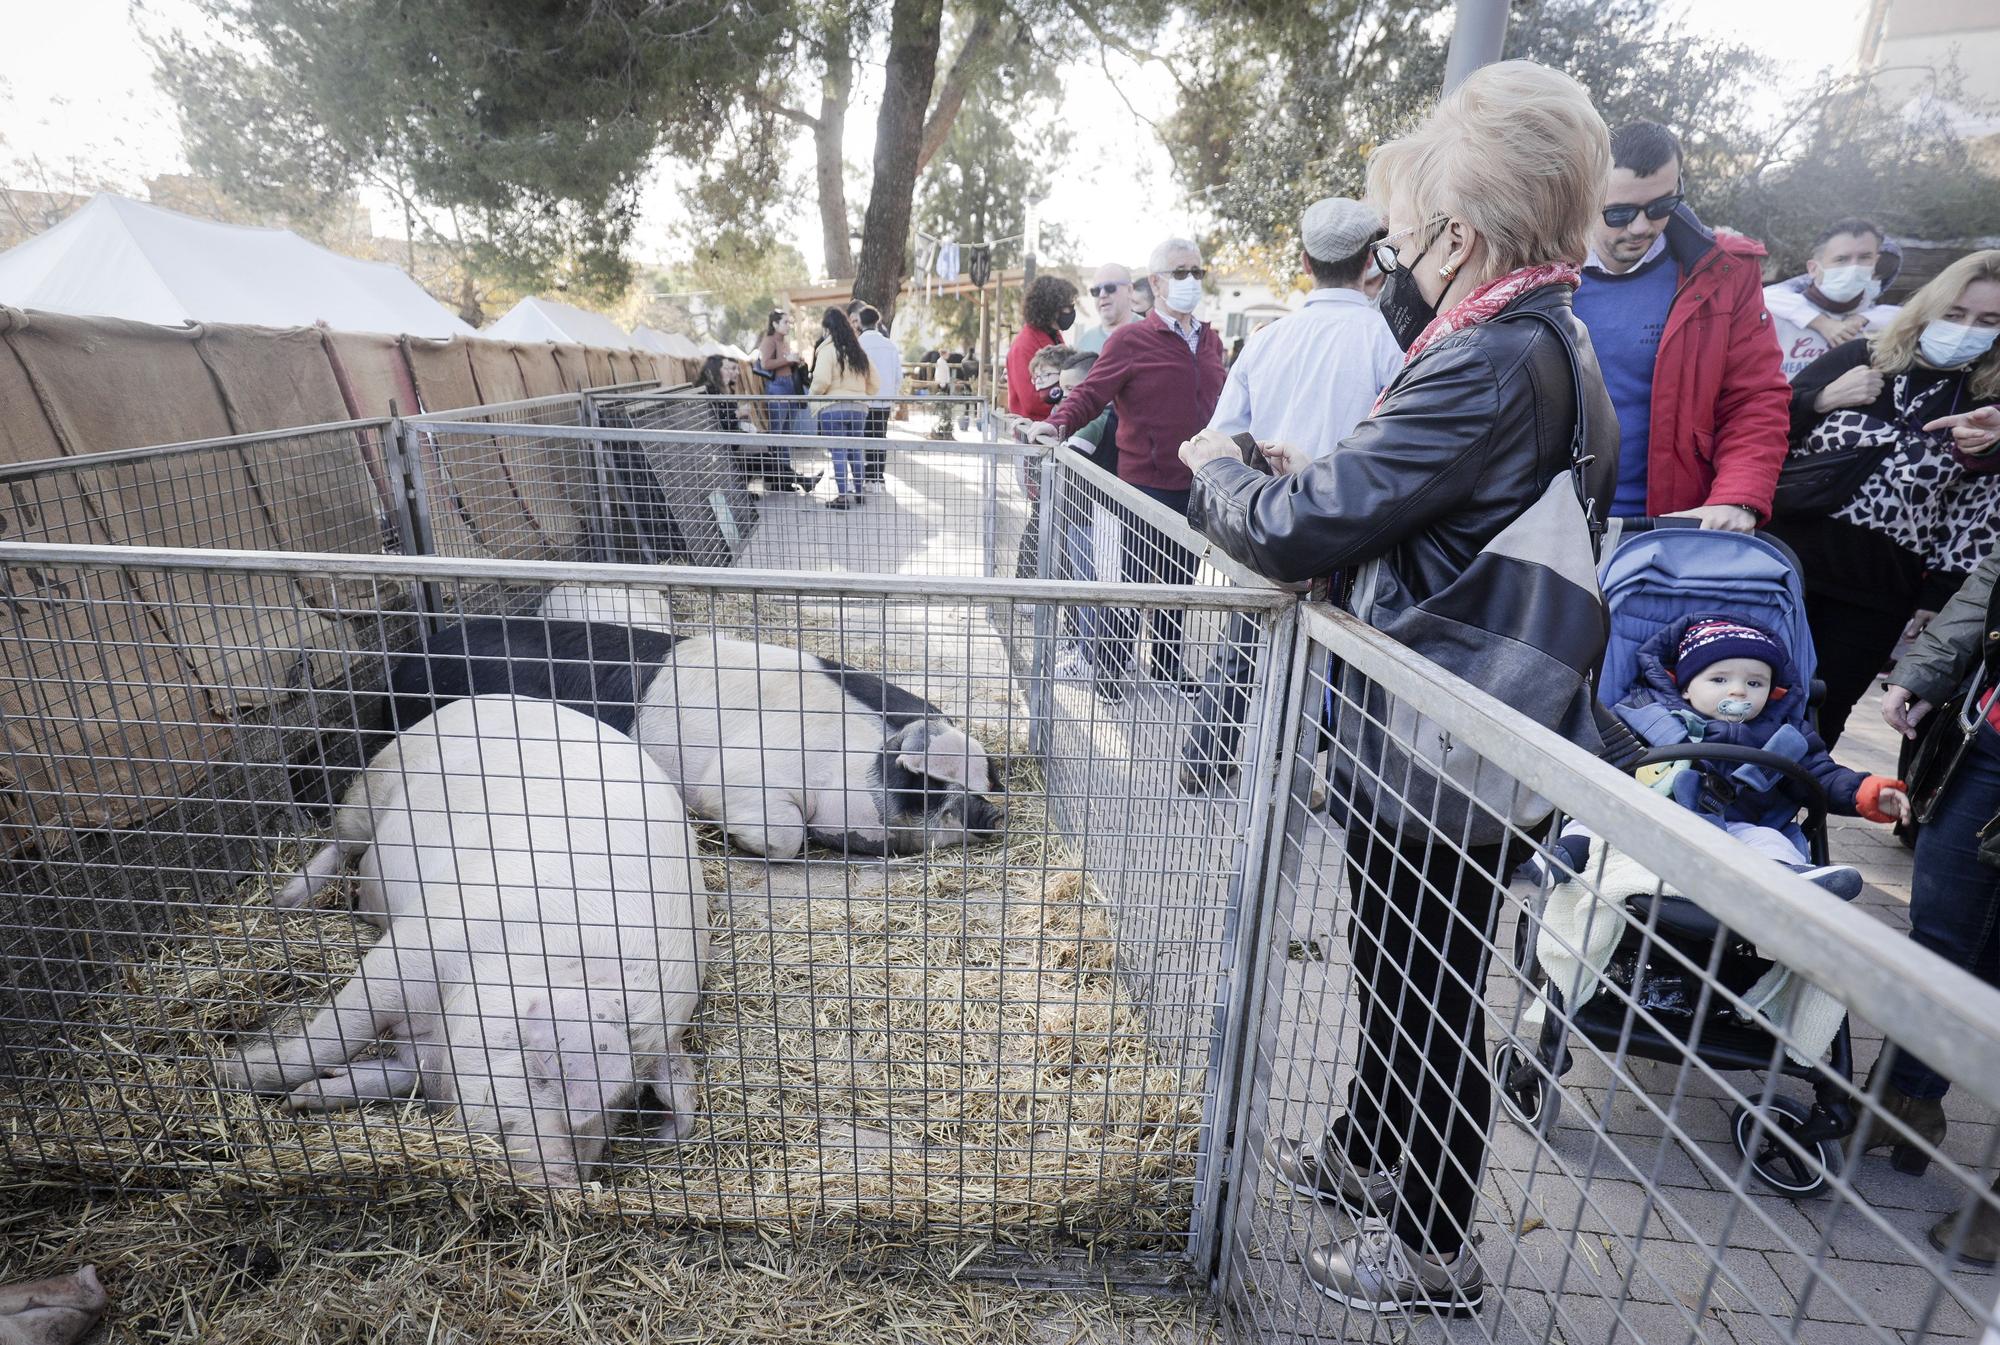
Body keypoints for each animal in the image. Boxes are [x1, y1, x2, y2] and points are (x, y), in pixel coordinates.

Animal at [231, 700, 712, 1184]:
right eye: (550, 1071)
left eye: (625, 1102)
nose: (568, 1180)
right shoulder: (412, 951)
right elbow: (328, 1039)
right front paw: (229, 1073)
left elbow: (395, 1076)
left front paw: (302, 1097)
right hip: (372, 787)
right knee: (339, 842)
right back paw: (283, 902)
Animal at [632, 632, 1000, 860]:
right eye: (923, 783)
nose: (995, 812)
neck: (841, 749)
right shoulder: (745, 772)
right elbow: (785, 838)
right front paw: (733, 838)